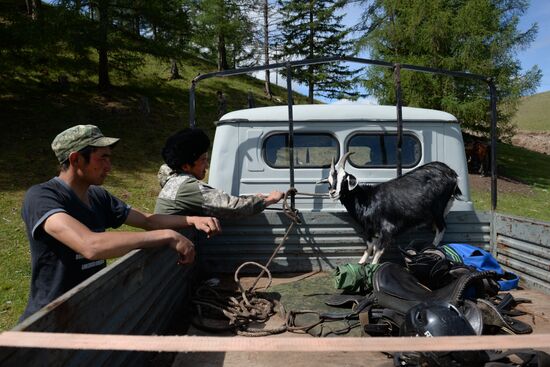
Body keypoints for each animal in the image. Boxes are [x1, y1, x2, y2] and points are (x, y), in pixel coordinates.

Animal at [316, 154, 464, 266]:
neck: (367, 199)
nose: (333, 192)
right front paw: (361, 262)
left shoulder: (388, 229)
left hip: (437, 210)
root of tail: (451, 173)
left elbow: (378, 251)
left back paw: (431, 248)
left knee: (441, 228)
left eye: (344, 179)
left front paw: (371, 267)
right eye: (329, 181)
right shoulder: (371, 229)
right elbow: (370, 246)